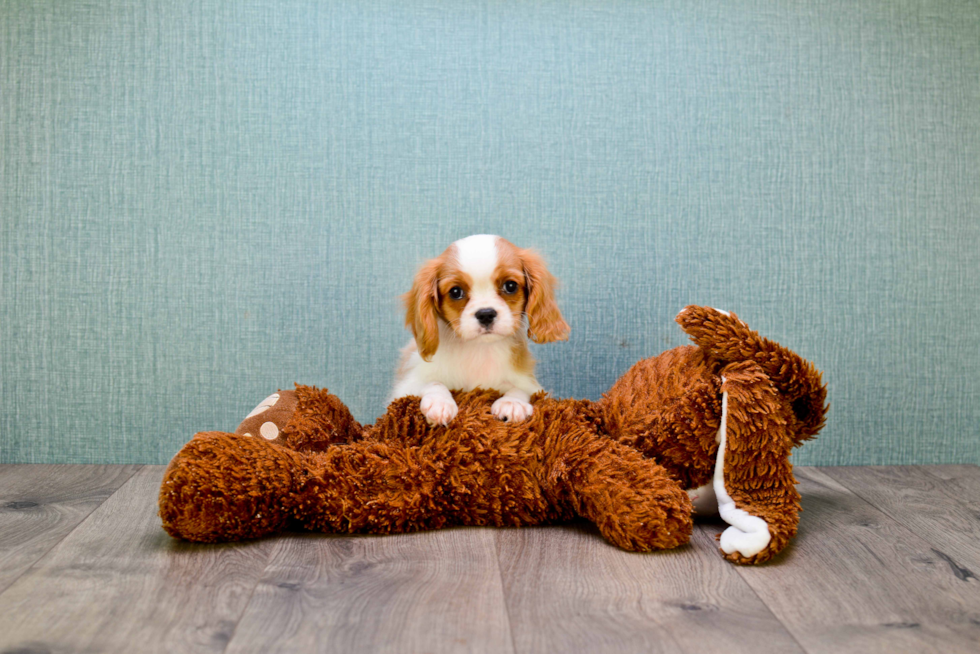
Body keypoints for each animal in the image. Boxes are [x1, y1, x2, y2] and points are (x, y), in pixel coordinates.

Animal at [388, 234, 572, 426]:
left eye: (510, 286)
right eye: (455, 292)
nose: (485, 314)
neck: (479, 348)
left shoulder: (532, 386)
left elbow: (520, 389)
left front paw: (512, 403)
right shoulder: (405, 387)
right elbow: (432, 383)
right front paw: (440, 402)